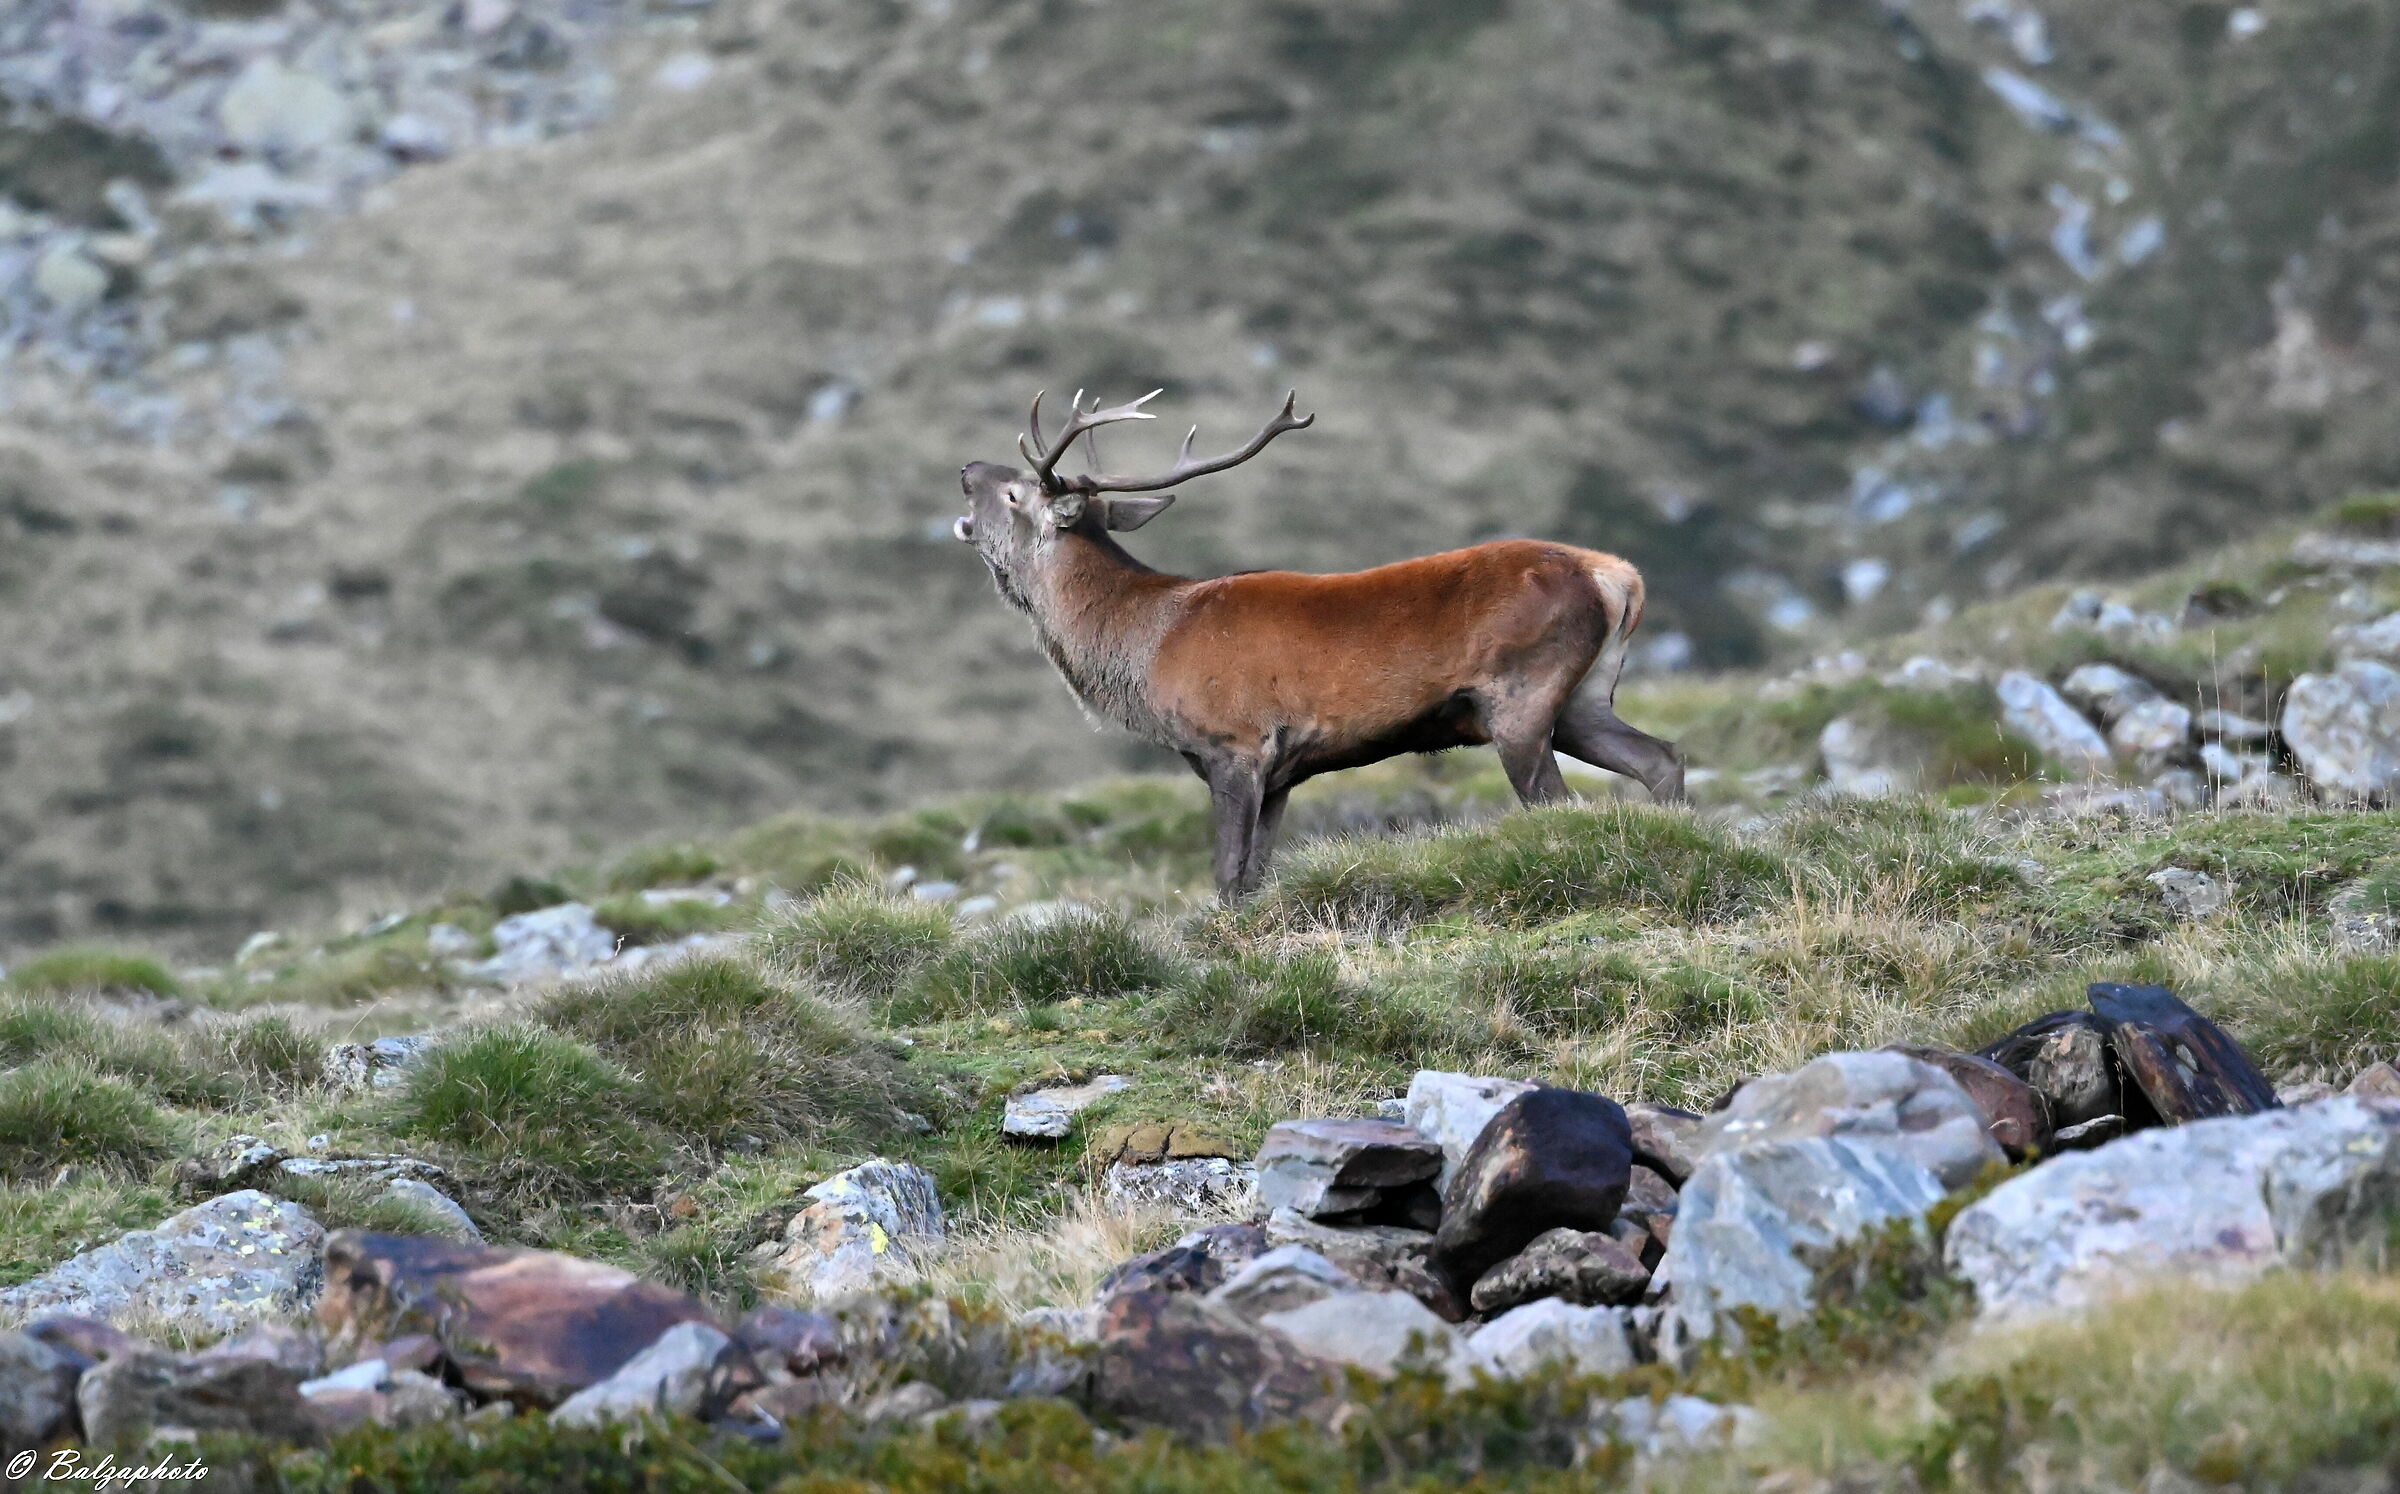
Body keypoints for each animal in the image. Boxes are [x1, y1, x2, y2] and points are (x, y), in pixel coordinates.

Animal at [952, 388, 1685, 901]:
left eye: (1013, 492)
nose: (965, 467)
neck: (1144, 643)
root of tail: (1615, 575)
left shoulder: (1236, 744)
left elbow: (1228, 875)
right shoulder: (1281, 772)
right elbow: (1257, 874)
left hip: (1521, 695)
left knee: (1559, 803)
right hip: (1583, 698)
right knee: (1661, 757)